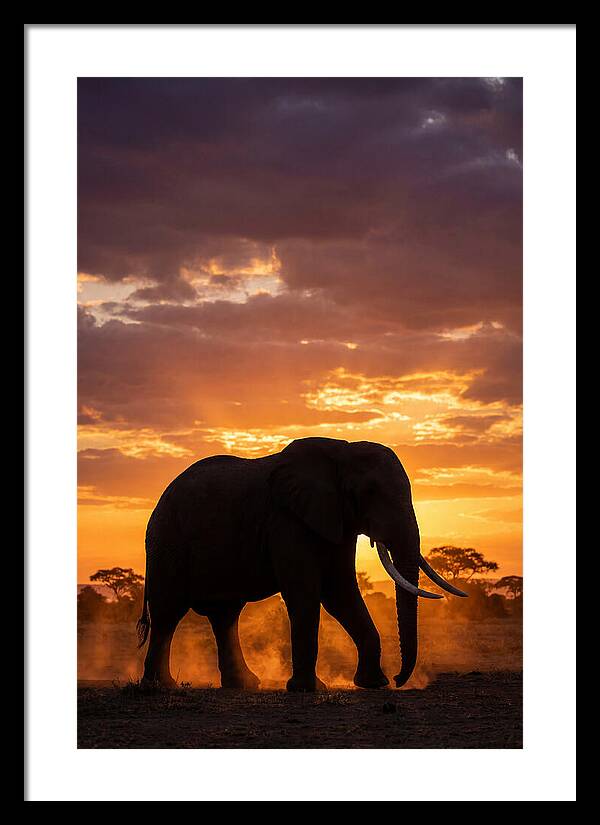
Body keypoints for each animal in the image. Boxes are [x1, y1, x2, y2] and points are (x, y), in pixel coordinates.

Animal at [137, 437, 467, 692]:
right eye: (369, 492)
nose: (399, 679)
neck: (342, 451)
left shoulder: (336, 519)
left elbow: (340, 592)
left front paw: (374, 684)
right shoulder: (286, 520)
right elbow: (306, 593)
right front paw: (307, 689)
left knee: (225, 615)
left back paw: (244, 684)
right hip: (167, 542)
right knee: (169, 613)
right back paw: (160, 686)